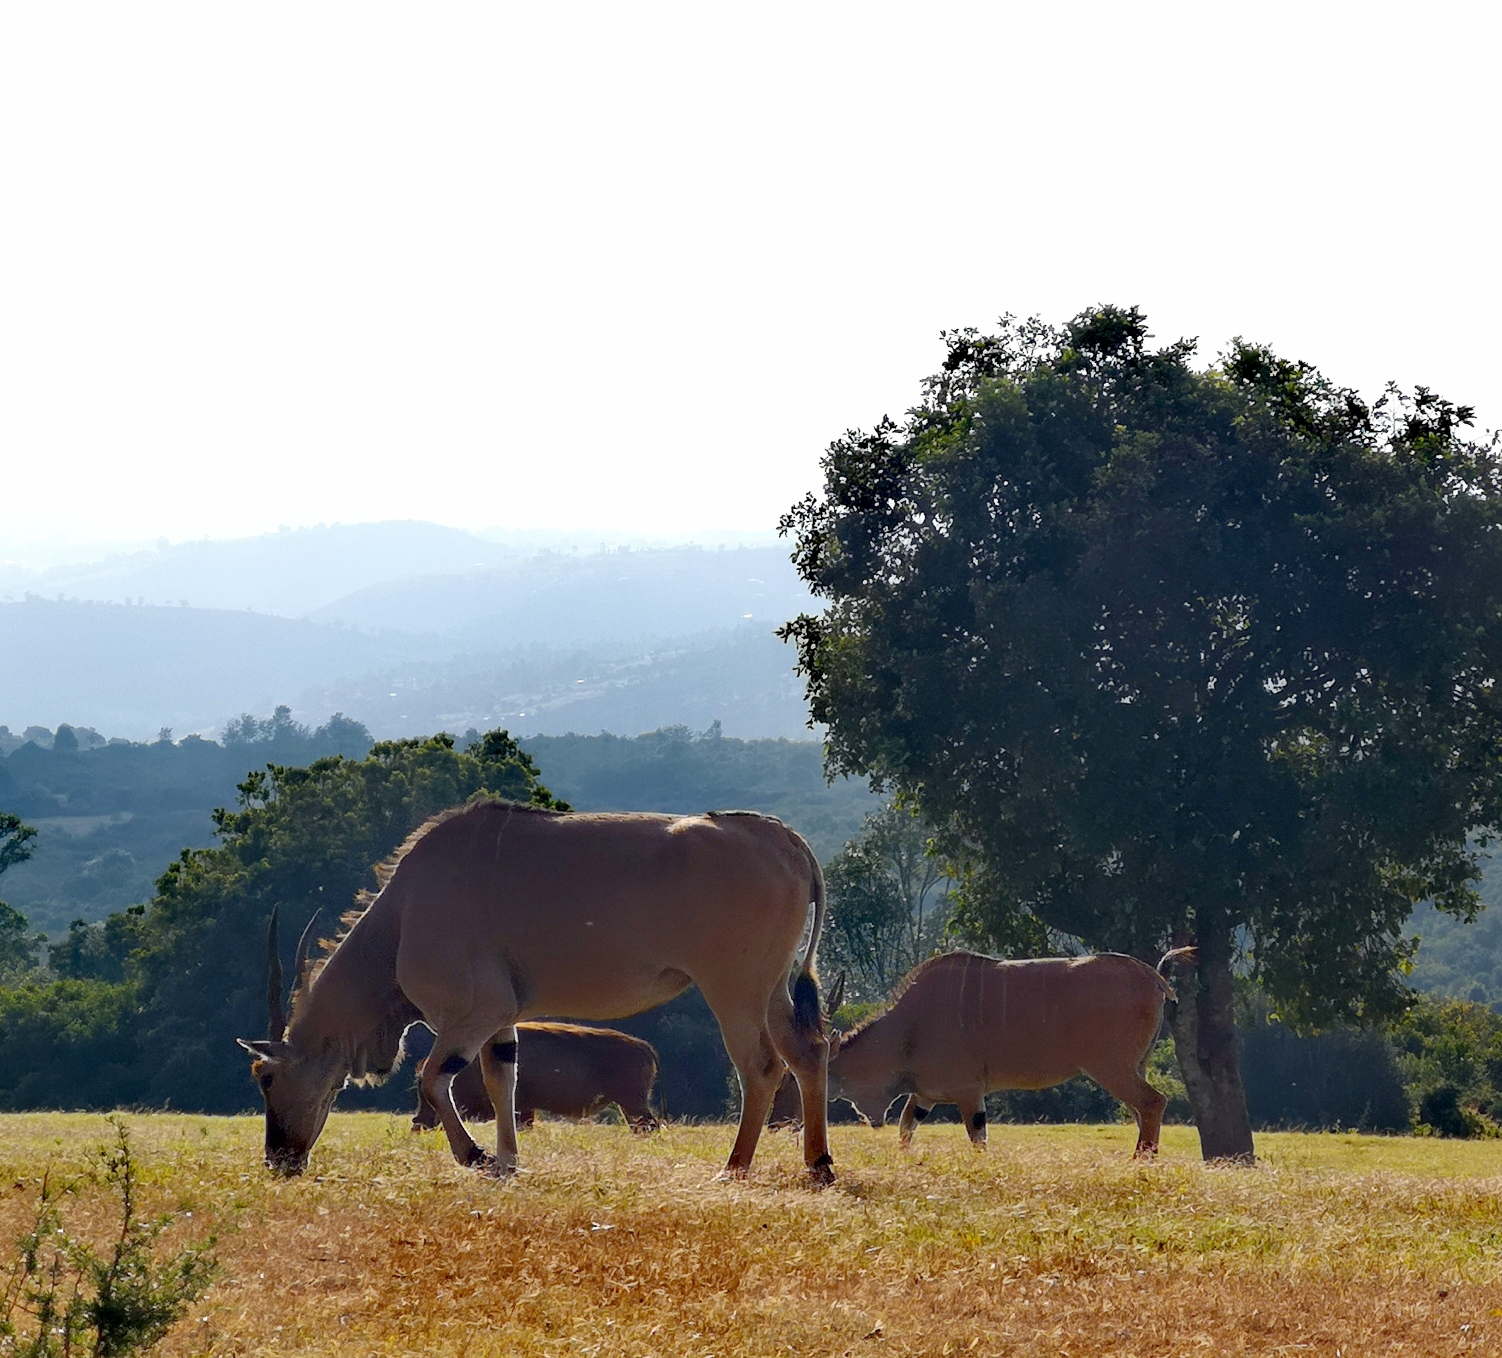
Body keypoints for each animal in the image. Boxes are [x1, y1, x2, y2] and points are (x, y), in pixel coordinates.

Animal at [829, 943, 1189, 1153]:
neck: (909, 1025)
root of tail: (1153, 977)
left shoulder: (968, 1091)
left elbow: (978, 1140)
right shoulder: (926, 1095)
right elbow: (906, 1130)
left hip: (1111, 1068)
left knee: (1153, 1102)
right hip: (1133, 1067)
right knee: (1143, 1111)